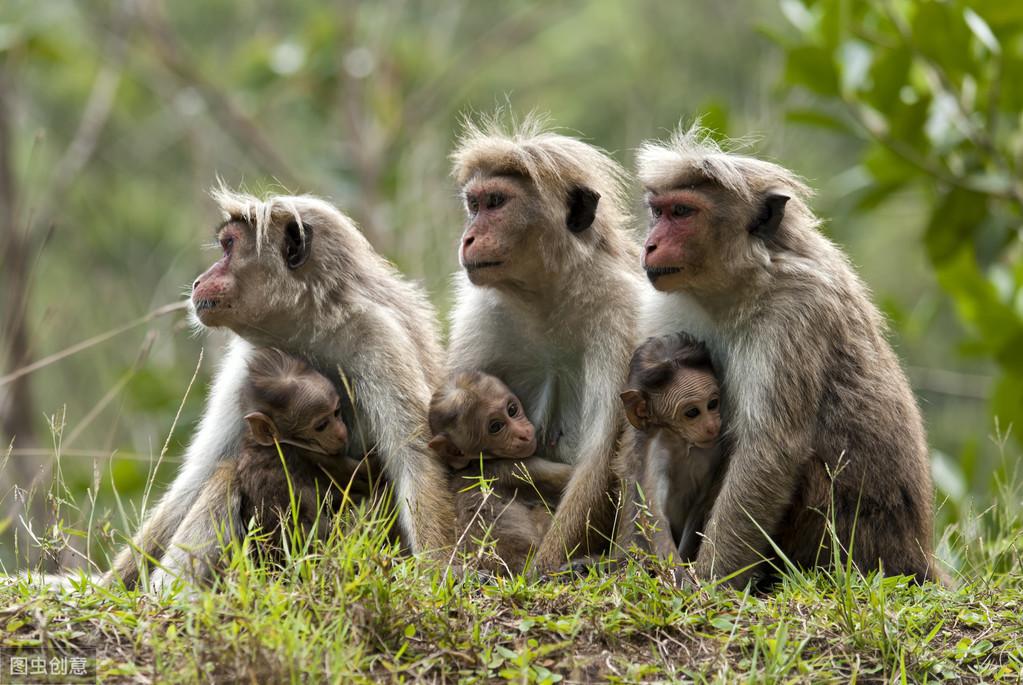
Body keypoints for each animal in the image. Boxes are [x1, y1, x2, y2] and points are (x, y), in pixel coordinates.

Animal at [617, 333, 724, 564]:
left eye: (712, 404)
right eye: (692, 412)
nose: (712, 426)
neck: (682, 443)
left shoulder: (711, 452)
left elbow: (699, 507)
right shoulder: (657, 451)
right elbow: (654, 515)